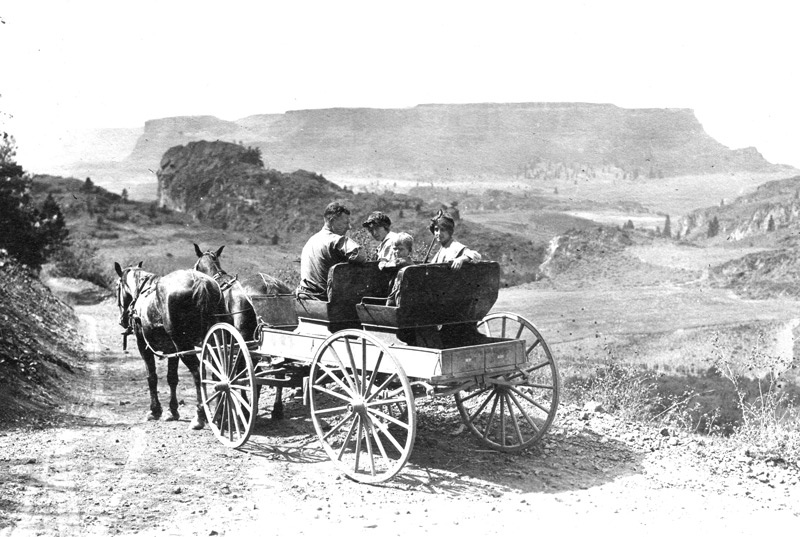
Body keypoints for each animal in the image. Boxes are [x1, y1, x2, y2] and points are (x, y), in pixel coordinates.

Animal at [111, 260, 228, 428]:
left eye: (117, 287)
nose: (122, 320)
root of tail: (200, 282)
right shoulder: (172, 350)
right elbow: (172, 378)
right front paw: (172, 411)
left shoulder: (143, 345)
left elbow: (152, 377)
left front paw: (154, 410)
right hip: (214, 340)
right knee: (218, 372)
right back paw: (220, 414)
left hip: (185, 346)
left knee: (198, 373)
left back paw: (200, 415)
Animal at [192, 243, 298, 418]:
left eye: (195, 266)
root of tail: (270, 286)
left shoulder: (217, 341)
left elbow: (219, 373)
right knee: (277, 372)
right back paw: (275, 408)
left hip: (244, 339)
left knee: (244, 374)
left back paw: (244, 409)